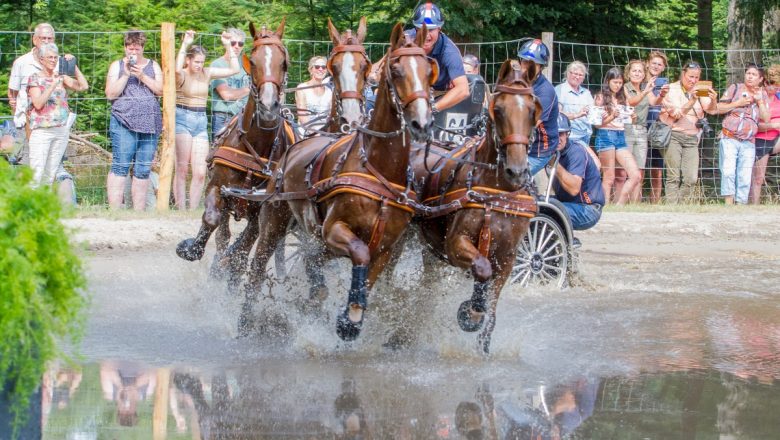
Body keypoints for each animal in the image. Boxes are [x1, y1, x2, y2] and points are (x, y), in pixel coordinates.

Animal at [232, 23, 438, 340]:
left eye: (429, 71)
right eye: (396, 70)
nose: (422, 123)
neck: (378, 168)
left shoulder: (386, 248)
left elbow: (367, 278)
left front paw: (351, 317)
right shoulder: (334, 230)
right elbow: (359, 253)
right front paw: (347, 318)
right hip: (274, 222)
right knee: (256, 268)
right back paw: (244, 322)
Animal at [414, 59, 544, 354]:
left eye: (533, 110)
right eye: (498, 109)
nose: (516, 171)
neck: (497, 193)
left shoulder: (508, 257)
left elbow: (491, 312)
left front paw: (481, 339)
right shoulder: (455, 244)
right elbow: (482, 269)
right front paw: (471, 311)